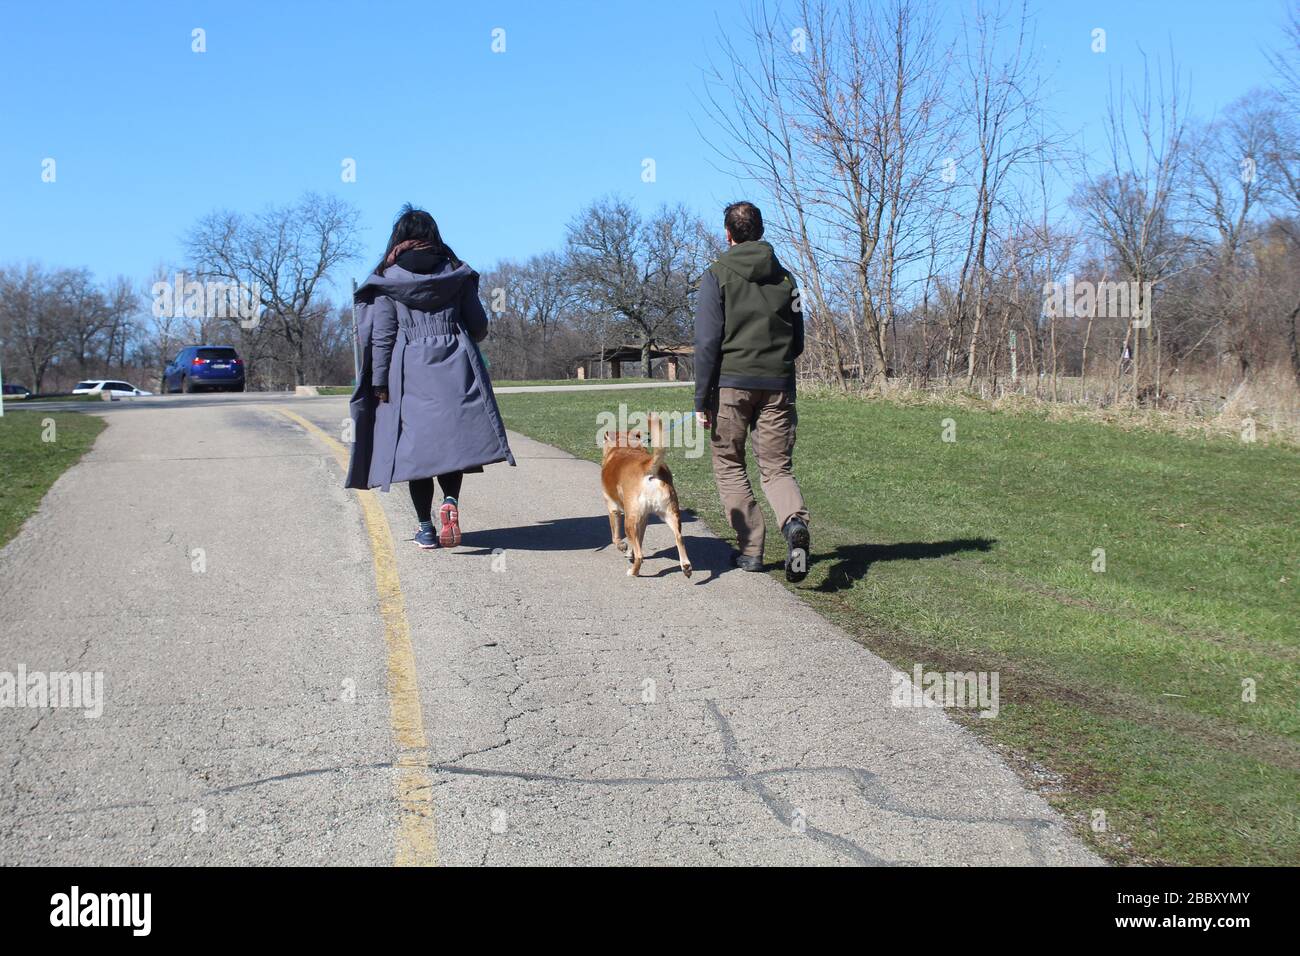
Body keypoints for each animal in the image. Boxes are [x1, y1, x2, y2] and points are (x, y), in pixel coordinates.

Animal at [600, 416, 691, 580]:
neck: (625, 446)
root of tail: (647, 467)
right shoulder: (644, 519)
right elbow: (639, 540)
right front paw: (630, 552)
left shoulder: (613, 508)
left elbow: (615, 537)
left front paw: (622, 547)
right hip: (671, 513)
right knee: (679, 537)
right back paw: (686, 566)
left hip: (629, 521)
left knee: (640, 555)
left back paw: (633, 572)